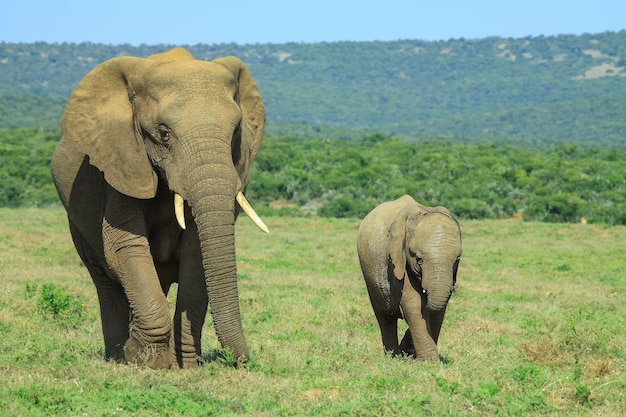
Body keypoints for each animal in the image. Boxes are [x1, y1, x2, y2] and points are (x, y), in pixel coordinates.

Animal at [50, 47, 268, 368]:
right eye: (164, 133)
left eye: (235, 133)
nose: (242, 360)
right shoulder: (122, 161)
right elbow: (124, 246)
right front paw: (143, 360)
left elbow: (196, 253)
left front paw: (184, 366)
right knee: (107, 283)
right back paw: (117, 356)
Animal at [356, 195, 458, 360]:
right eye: (419, 259)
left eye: (457, 259)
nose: (408, 352)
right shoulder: (396, 260)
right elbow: (413, 304)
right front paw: (429, 361)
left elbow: (438, 310)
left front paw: (411, 353)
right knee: (384, 317)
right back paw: (392, 356)